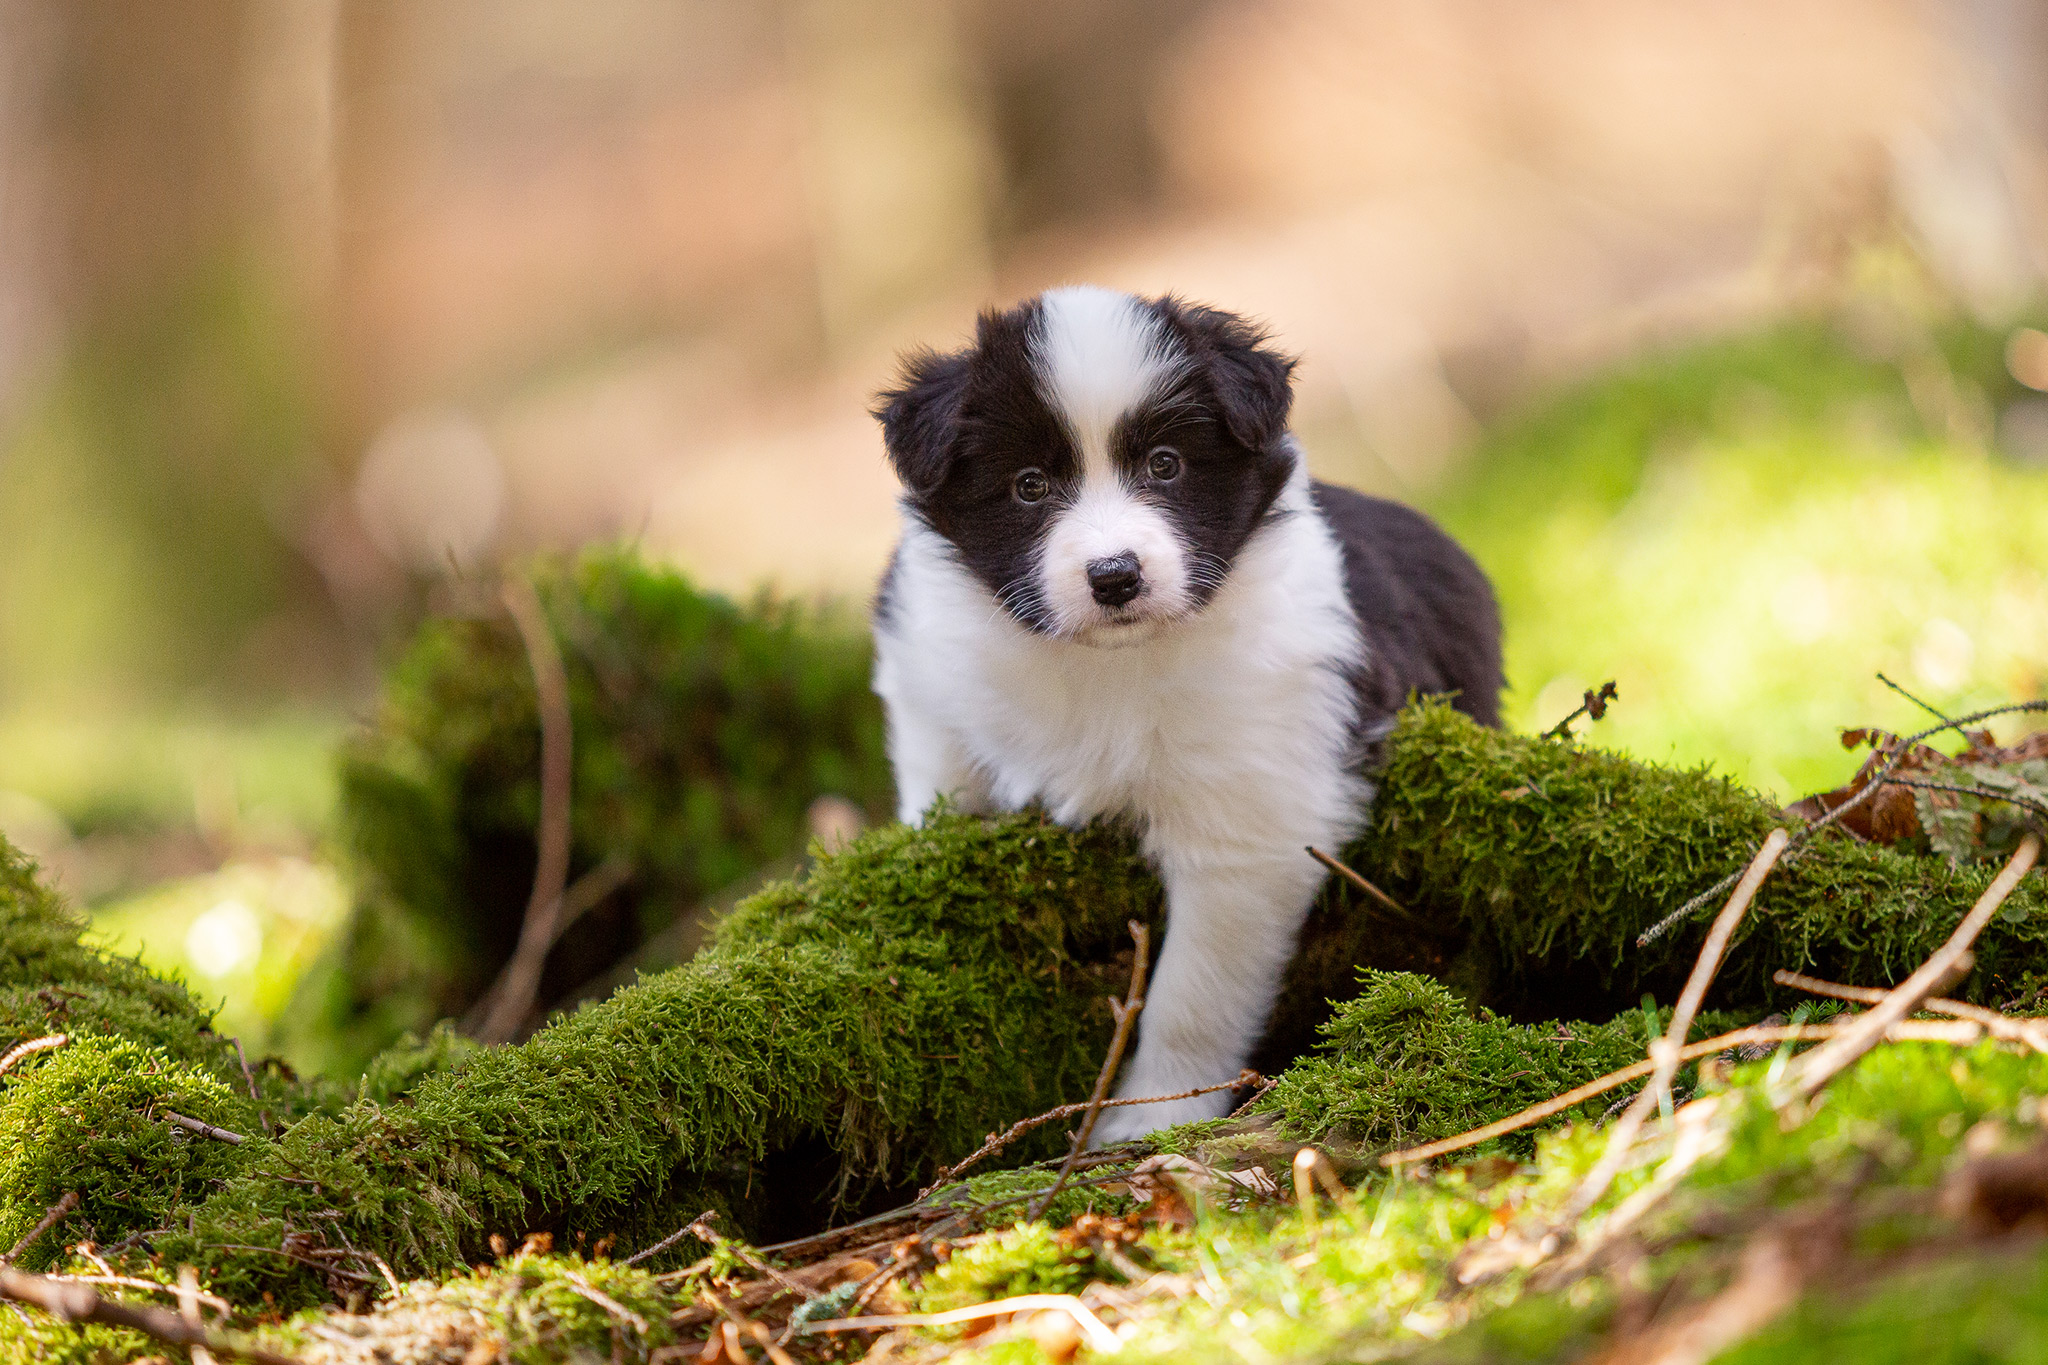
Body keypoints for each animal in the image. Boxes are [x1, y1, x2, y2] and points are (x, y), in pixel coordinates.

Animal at [868, 288, 1507, 1146]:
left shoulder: (1250, 819)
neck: (1107, 665)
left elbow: (1190, 995)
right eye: (1029, 485)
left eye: (1165, 465)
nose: (1115, 576)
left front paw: (1148, 1120)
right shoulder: (931, 695)